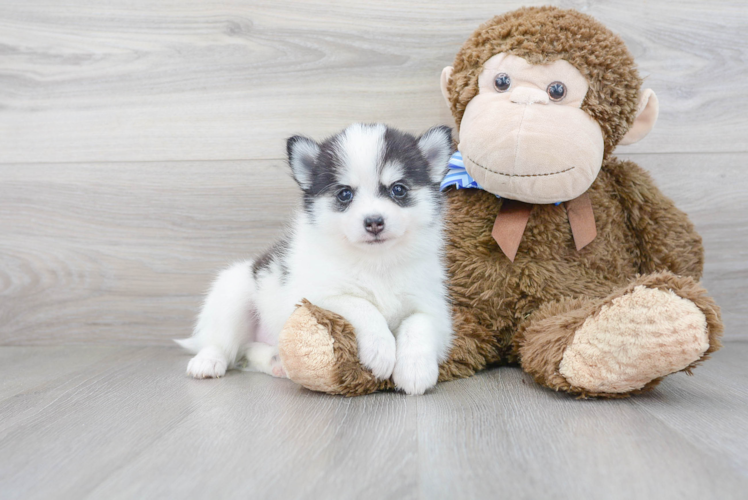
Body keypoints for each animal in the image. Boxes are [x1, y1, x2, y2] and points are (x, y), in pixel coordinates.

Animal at [178, 122, 452, 394]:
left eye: (398, 189)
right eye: (344, 194)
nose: (374, 221)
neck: (377, 262)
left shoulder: (433, 306)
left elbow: (420, 324)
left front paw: (416, 369)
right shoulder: (318, 295)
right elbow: (362, 306)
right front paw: (380, 349)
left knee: (247, 352)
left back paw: (275, 361)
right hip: (233, 293)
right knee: (221, 342)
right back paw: (208, 361)